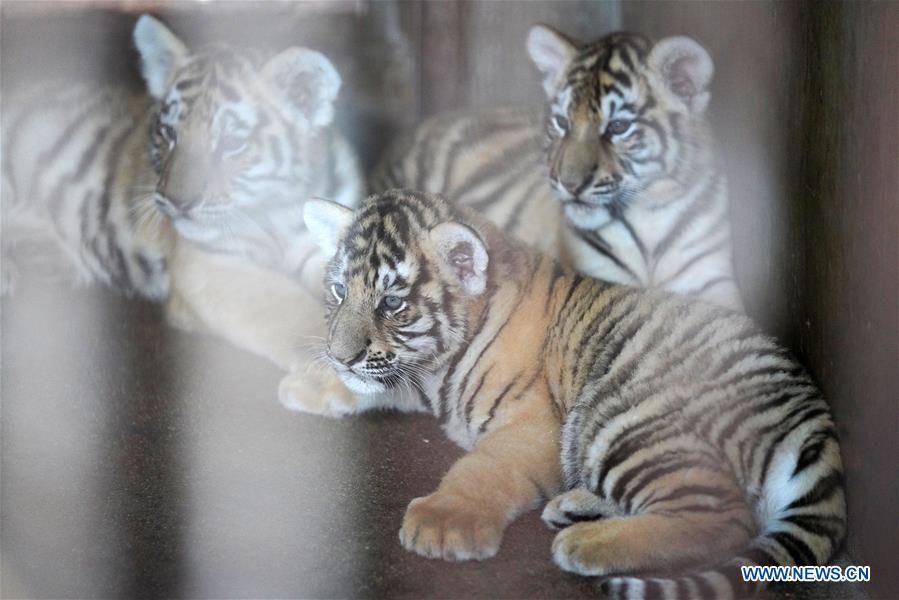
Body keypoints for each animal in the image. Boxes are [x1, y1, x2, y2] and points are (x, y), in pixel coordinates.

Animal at [1, 15, 363, 382]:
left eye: (231, 143)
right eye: (169, 133)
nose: (176, 201)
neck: (282, 210)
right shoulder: (210, 264)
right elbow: (289, 310)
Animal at [290, 188, 846, 599]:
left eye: (391, 304)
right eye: (339, 291)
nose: (340, 356)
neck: (433, 371)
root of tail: (813, 415)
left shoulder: (535, 424)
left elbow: (483, 467)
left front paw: (442, 521)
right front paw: (307, 380)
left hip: (618, 417)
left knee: (722, 517)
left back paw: (582, 541)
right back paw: (576, 507)